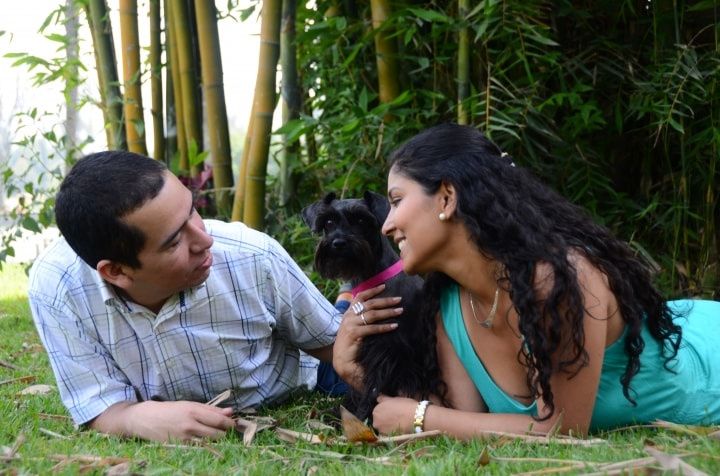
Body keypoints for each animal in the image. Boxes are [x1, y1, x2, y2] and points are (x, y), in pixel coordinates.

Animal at [302, 190, 434, 420]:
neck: (373, 277)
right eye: (328, 222)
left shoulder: (389, 351)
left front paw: (362, 416)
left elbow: (374, 387)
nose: (338, 242)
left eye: (362, 220)